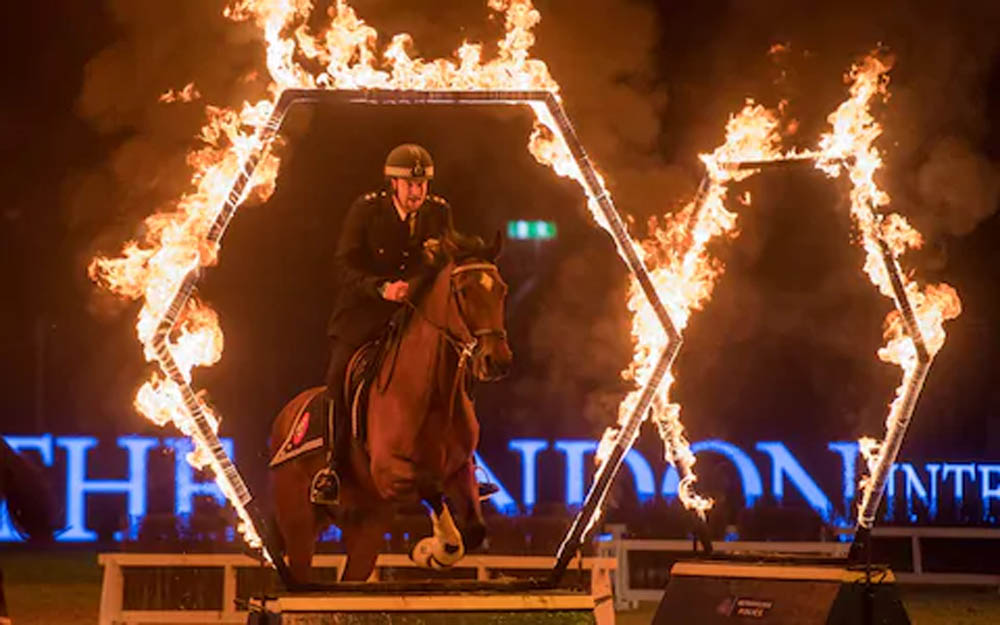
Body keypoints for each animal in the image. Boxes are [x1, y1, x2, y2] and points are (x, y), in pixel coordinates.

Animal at [270, 234, 512, 584]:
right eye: (464, 291)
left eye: (502, 290)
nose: (498, 361)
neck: (432, 394)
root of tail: (287, 415)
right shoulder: (390, 472)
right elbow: (431, 489)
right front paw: (429, 551)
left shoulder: (459, 470)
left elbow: (474, 530)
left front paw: (430, 551)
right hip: (300, 525)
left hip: (366, 528)